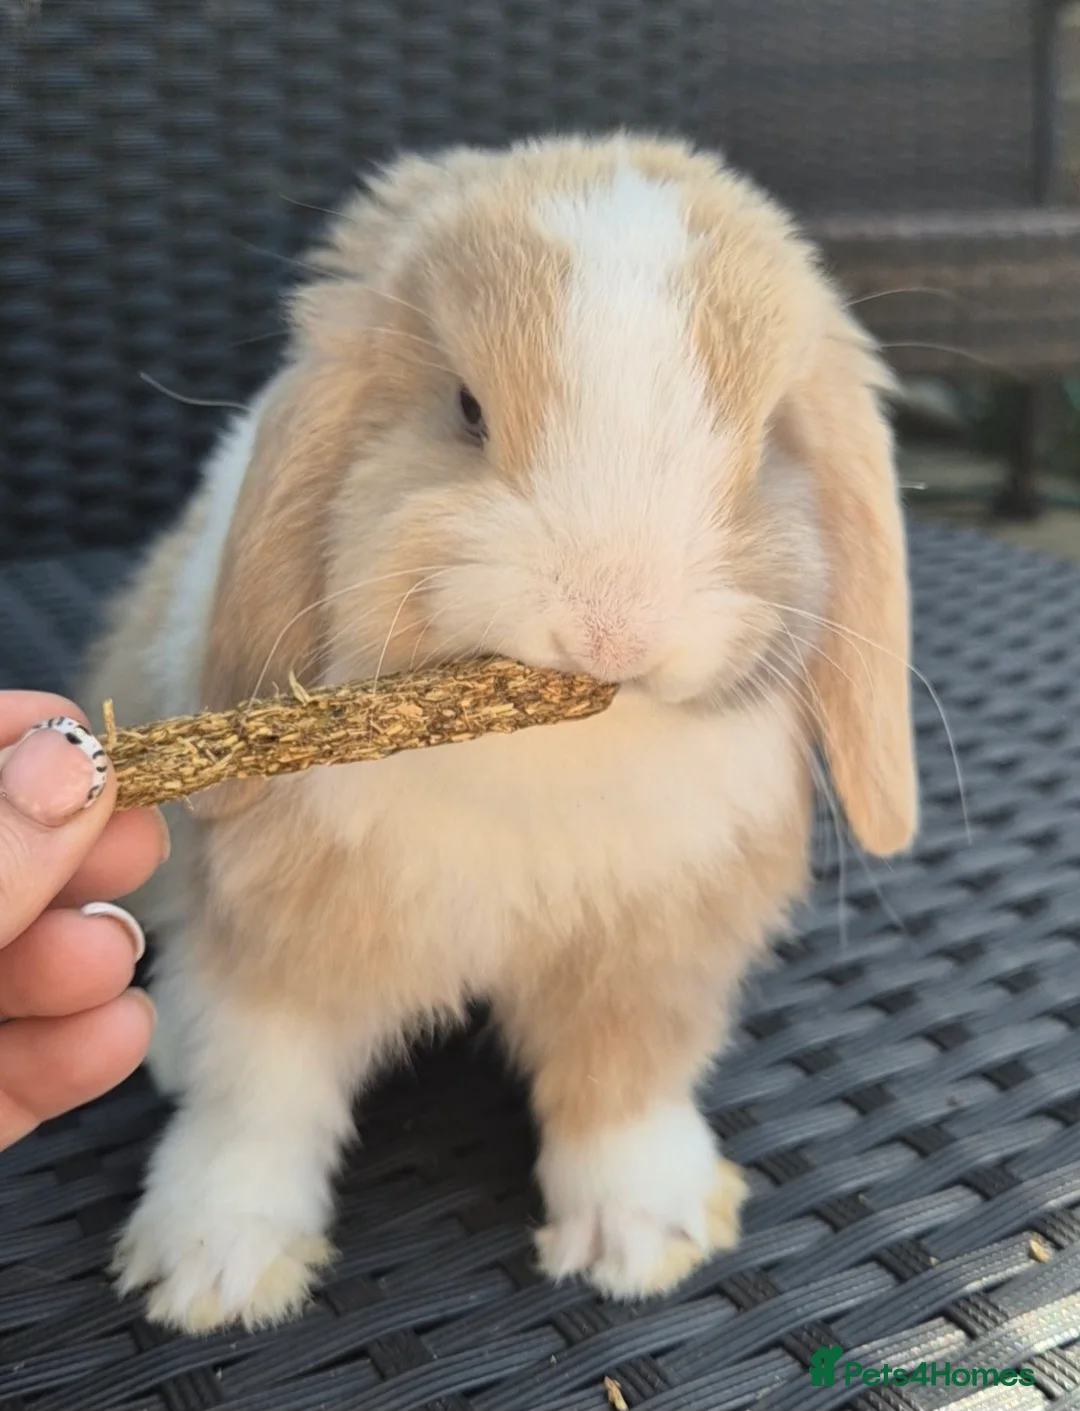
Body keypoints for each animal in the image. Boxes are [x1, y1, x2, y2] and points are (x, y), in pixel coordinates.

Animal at [82, 132, 917, 1334]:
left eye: (766, 443)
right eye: (468, 410)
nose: (616, 624)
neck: (546, 761)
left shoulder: (649, 958)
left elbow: (623, 1085)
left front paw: (647, 1239)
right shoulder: (280, 934)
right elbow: (262, 1088)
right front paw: (214, 1270)